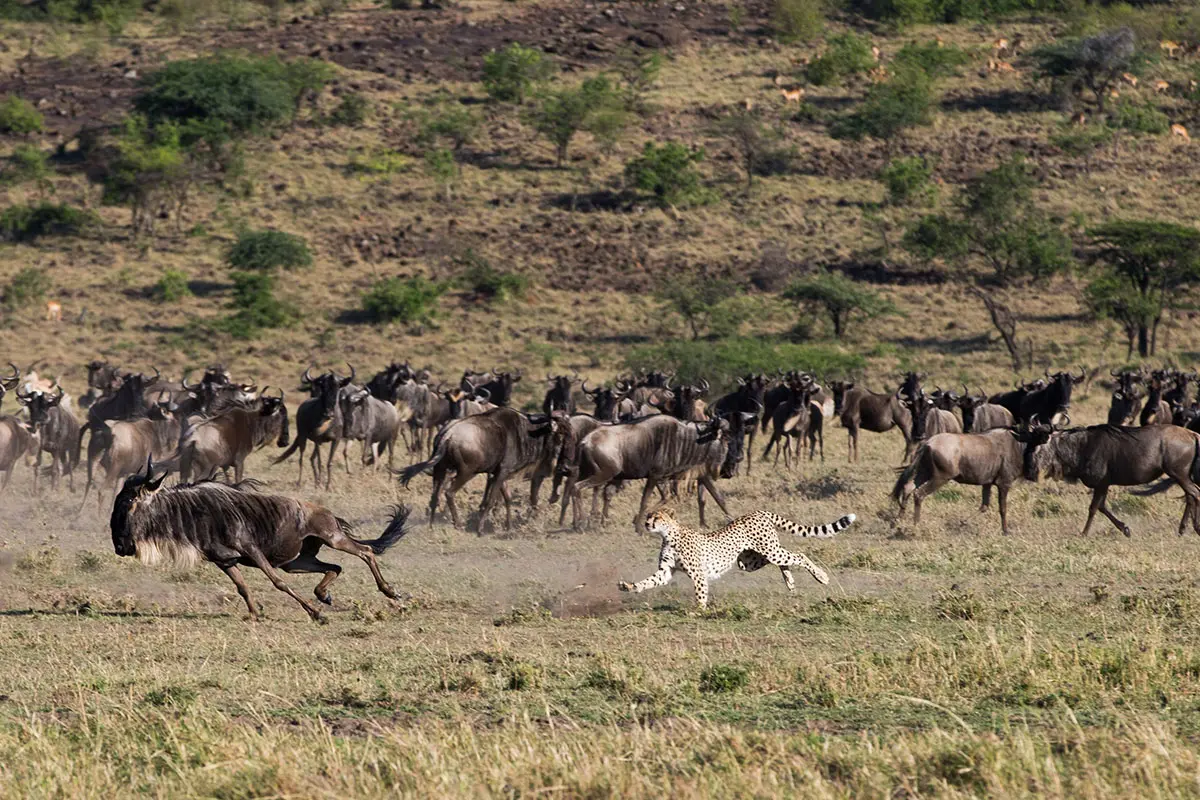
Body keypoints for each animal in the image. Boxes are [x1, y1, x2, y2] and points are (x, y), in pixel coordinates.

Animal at [619, 510, 854, 609]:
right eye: (648, 516)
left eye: (657, 517)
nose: (646, 523)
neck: (669, 535)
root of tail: (759, 511)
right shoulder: (666, 571)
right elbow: (649, 581)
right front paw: (630, 587)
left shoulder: (698, 574)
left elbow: (700, 593)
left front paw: (699, 611)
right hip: (749, 561)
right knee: (783, 561)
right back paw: (790, 582)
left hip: (768, 550)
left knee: (798, 555)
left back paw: (821, 577)